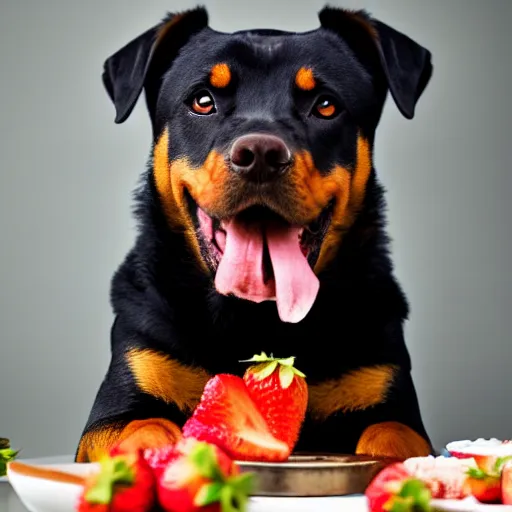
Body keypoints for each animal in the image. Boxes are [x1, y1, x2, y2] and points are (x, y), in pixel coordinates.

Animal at [76, 4, 434, 462]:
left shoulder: (382, 386)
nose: (260, 154)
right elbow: (142, 425)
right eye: (203, 101)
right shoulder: (127, 387)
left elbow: (395, 434)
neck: (255, 320)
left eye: (326, 105)